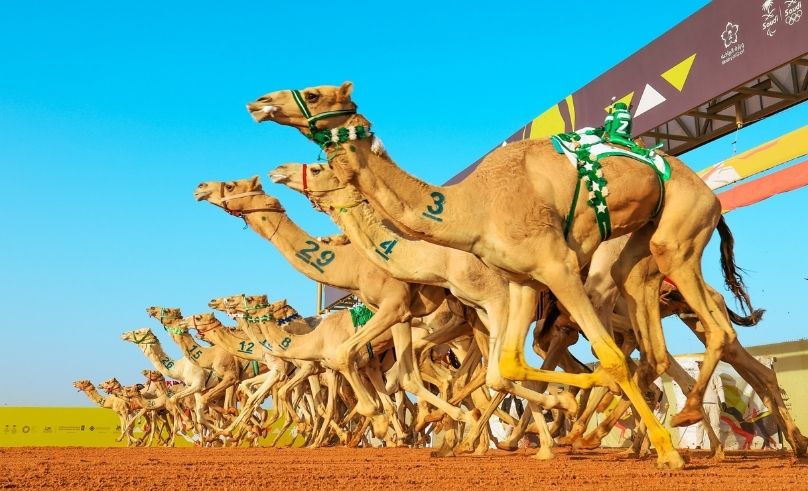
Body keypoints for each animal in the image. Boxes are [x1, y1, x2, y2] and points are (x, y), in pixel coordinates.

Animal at [248, 83, 759, 468]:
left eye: (313, 93)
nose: (258, 103)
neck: (471, 209)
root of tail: (700, 182)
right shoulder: (520, 282)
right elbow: (505, 368)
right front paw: (550, 416)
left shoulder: (551, 270)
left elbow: (604, 362)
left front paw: (664, 452)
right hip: (638, 259)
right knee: (653, 337)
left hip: (680, 231)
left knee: (709, 332)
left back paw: (675, 426)